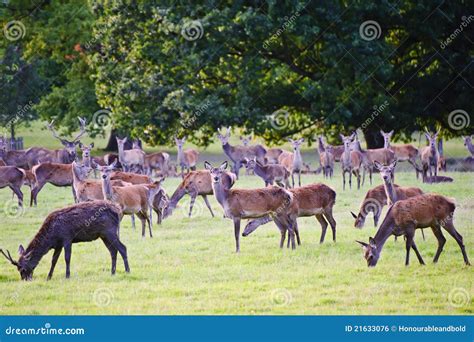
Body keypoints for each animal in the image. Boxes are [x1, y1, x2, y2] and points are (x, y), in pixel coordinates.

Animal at [0, 199, 129, 280]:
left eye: (22, 269)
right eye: (18, 269)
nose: (25, 279)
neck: (51, 237)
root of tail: (118, 210)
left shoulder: (67, 238)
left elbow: (67, 258)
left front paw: (67, 276)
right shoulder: (58, 245)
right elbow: (54, 260)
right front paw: (49, 277)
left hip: (110, 231)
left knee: (123, 247)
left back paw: (127, 271)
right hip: (103, 235)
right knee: (113, 251)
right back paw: (112, 272)